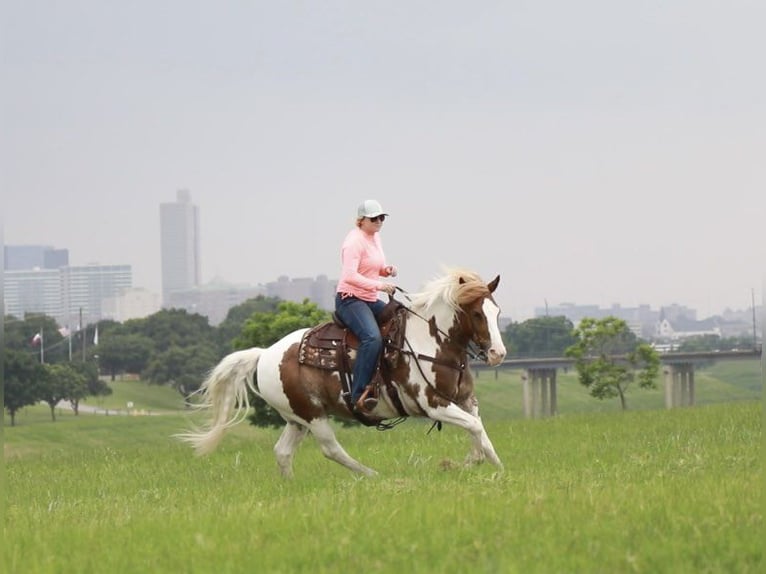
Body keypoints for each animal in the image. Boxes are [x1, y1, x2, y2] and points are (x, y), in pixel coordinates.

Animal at [177, 268, 507, 477]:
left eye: (497, 311)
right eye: (477, 313)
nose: (498, 354)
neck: (431, 340)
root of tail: (265, 354)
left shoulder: (464, 400)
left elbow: (478, 427)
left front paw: (480, 461)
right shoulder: (434, 405)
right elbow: (474, 427)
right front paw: (494, 468)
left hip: (296, 418)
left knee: (283, 451)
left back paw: (290, 485)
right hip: (313, 416)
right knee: (331, 449)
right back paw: (370, 475)